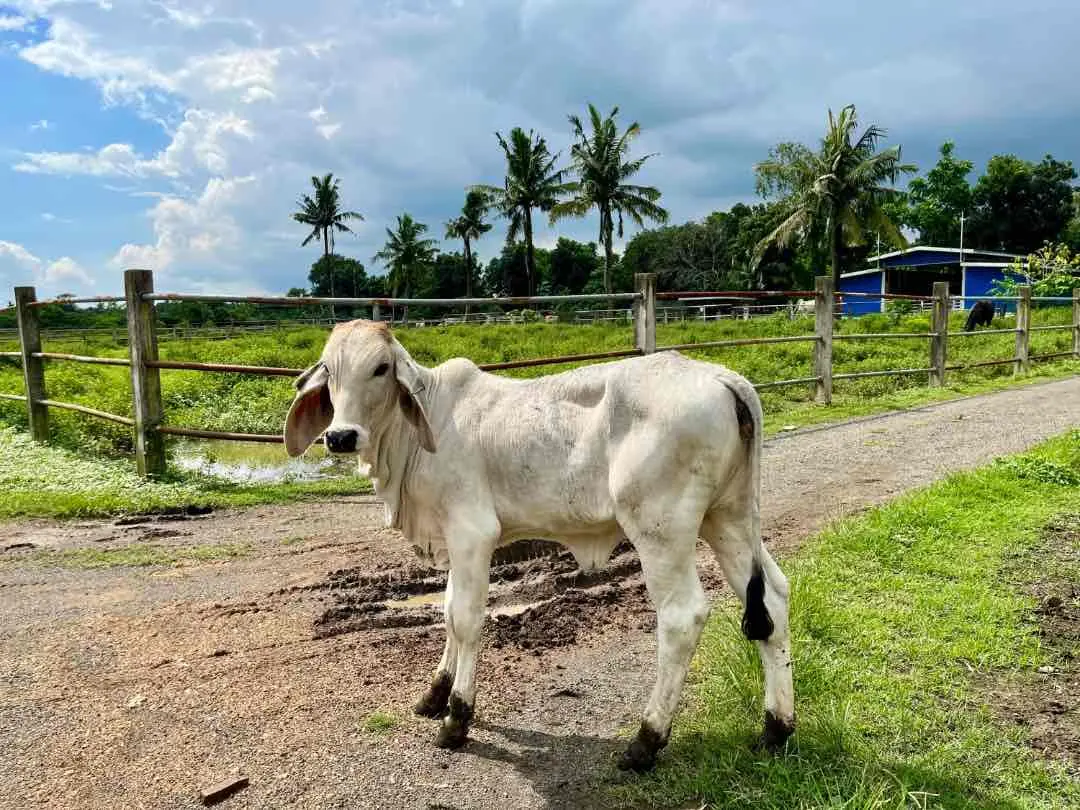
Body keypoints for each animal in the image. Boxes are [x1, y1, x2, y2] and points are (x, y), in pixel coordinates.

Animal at [283, 320, 795, 772]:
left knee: (682, 618)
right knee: (772, 599)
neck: (424, 429)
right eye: (330, 370)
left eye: (381, 368)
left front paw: (457, 717)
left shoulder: (473, 533)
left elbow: (466, 619)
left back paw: (645, 742)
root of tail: (721, 376)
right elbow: (446, 612)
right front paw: (434, 693)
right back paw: (776, 728)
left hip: (662, 530)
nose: (341, 436)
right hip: (727, 518)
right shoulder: (452, 541)